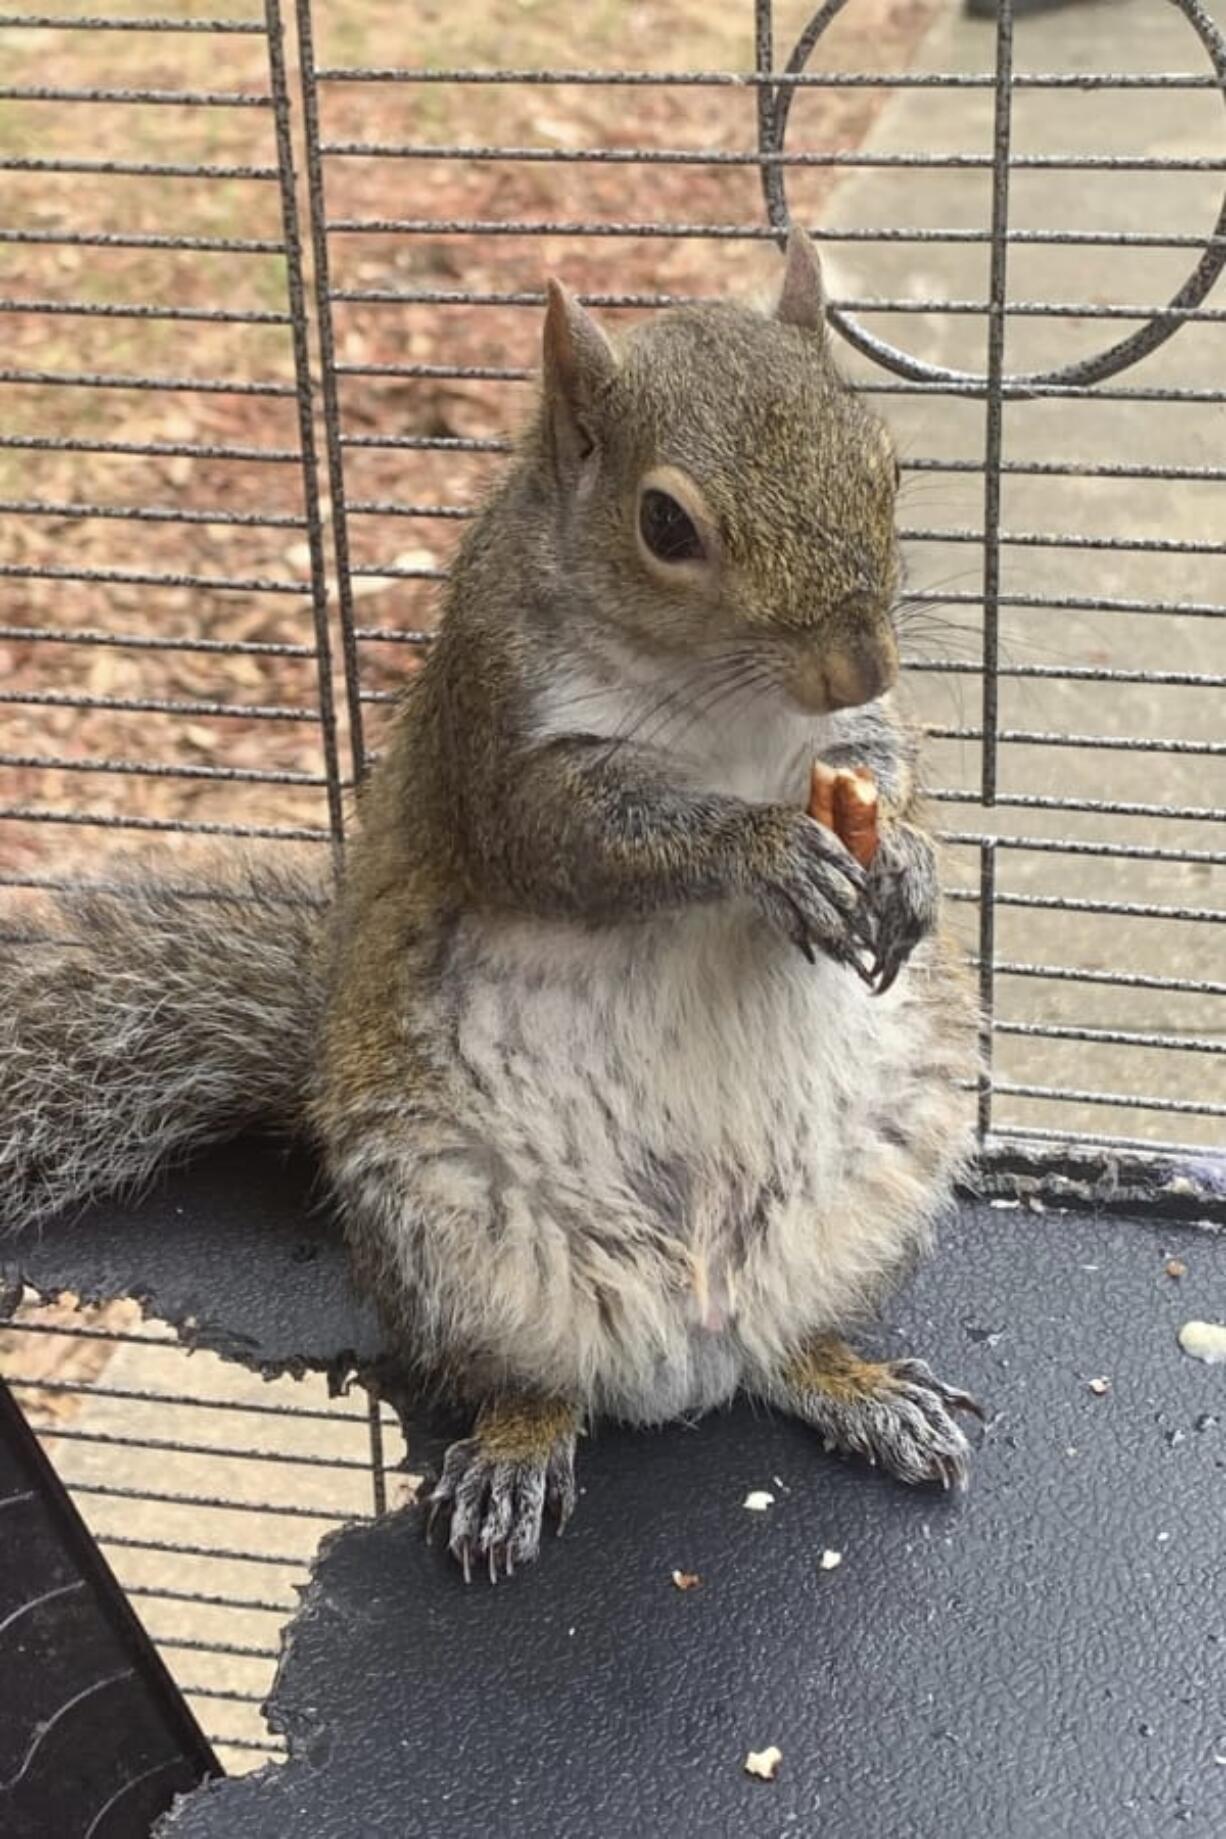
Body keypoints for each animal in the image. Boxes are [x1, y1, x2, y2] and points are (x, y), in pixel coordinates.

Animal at [0, 229, 977, 1581]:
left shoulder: (851, 743)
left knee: (782, 1354)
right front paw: (766, 853)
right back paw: (514, 1455)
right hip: (447, 1233)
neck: (722, 710)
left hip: (875, 1185)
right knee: (526, 1382)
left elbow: (886, 770)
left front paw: (911, 866)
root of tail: (691, 1332)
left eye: (886, 464)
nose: (859, 662)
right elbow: (574, 841)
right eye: (663, 523)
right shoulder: (496, 733)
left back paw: (861, 1388)